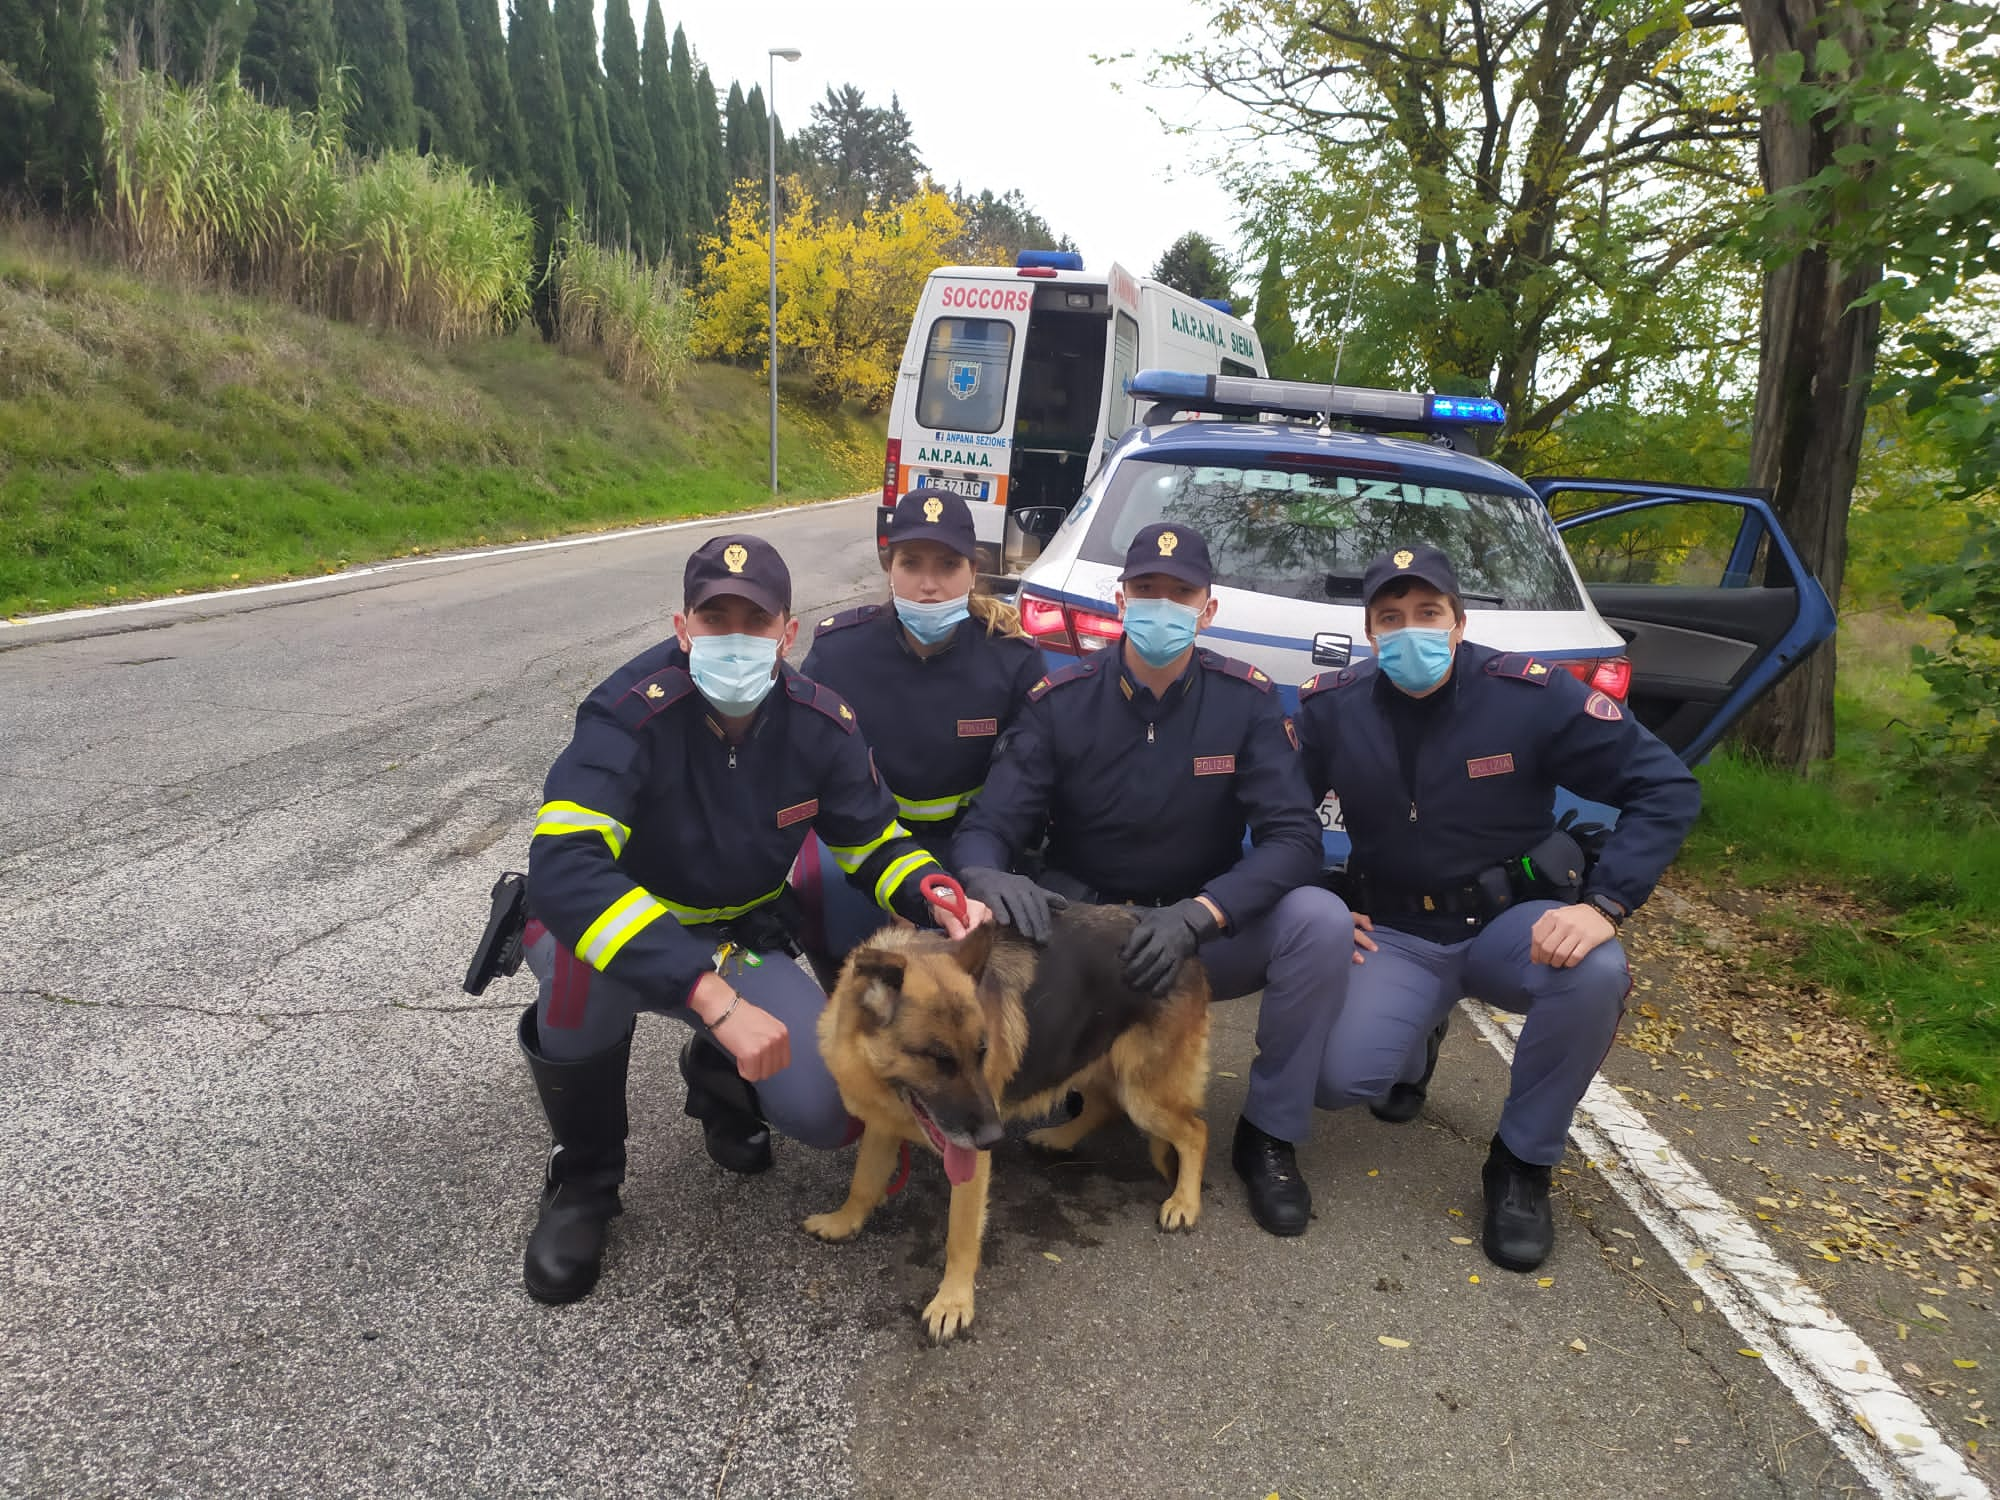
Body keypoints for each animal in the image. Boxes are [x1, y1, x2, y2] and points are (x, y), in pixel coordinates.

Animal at [804, 912, 1208, 1344]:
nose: (992, 1139)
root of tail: (1175, 938)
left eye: (982, 1052)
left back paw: (1184, 1202)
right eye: (938, 1060)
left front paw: (953, 1301)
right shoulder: (882, 1125)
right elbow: (863, 1182)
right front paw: (843, 1220)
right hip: (1088, 1059)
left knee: (1195, 1132)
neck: (883, 1083)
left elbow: (961, 1234)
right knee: (1104, 1104)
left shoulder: (967, 1164)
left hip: (1142, 1094)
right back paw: (1058, 1137)